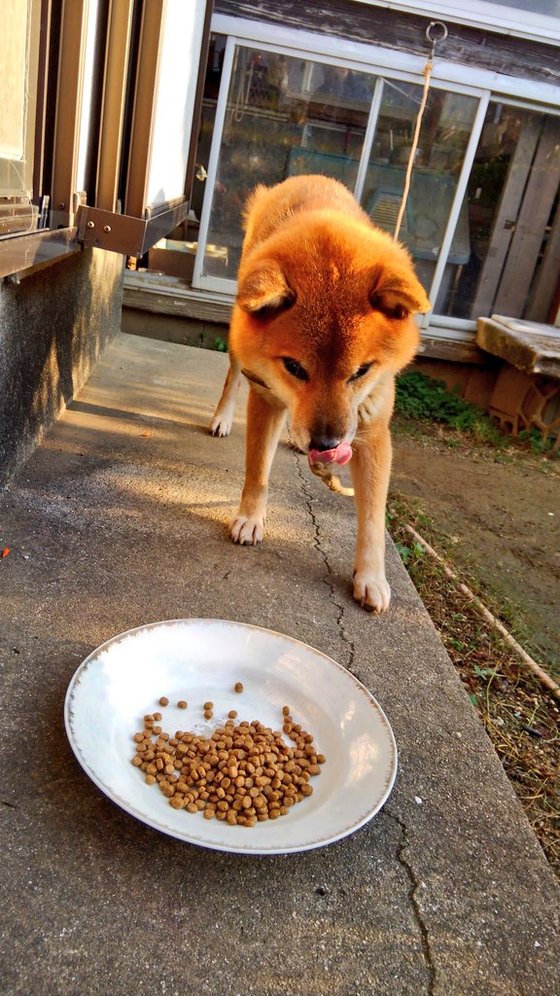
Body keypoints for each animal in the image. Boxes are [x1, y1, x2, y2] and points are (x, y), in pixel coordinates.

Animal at [210, 178, 428, 612]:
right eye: (295, 368)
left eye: (362, 371)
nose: (326, 443)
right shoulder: (266, 399)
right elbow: (257, 471)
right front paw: (250, 518)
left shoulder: (372, 431)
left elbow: (373, 517)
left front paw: (371, 577)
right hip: (239, 344)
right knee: (232, 379)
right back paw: (225, 418)